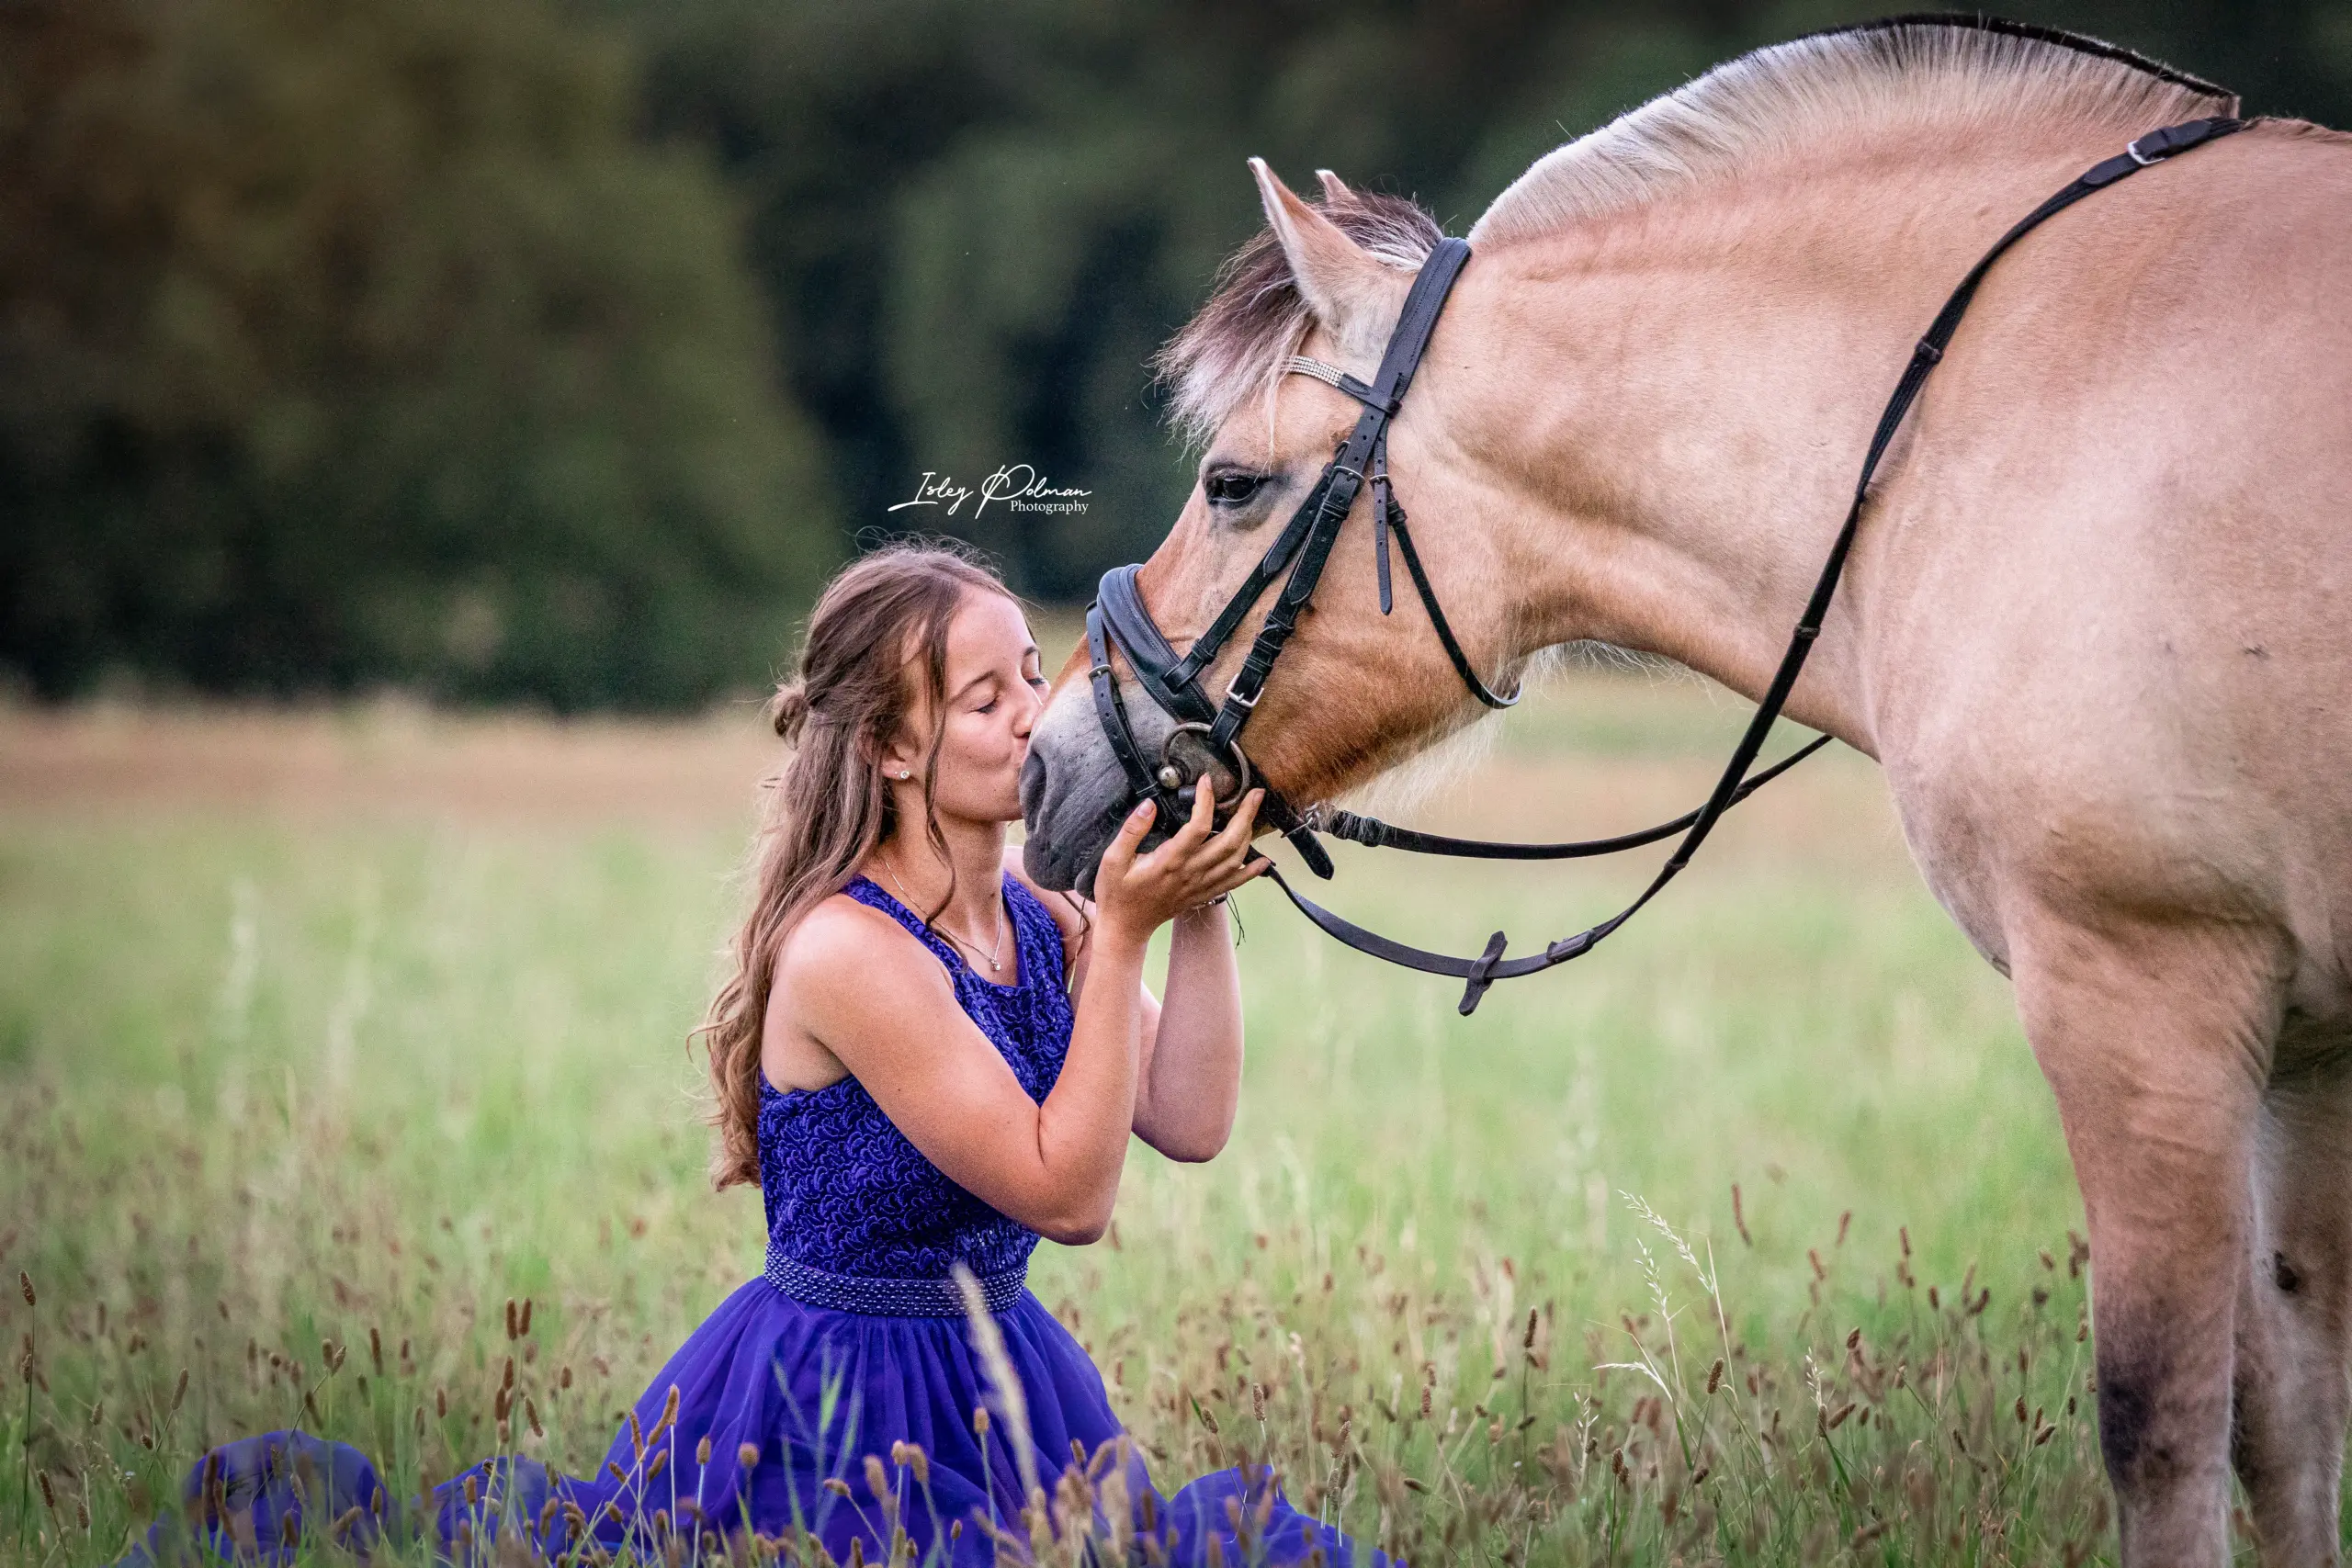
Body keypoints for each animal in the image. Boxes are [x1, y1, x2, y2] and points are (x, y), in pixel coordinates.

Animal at [1021, 15, 2352, 1568]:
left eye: (1233, 483)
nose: (1051, 759)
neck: (1980, 408)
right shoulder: (2302, 1048)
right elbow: (2290, 1417)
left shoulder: (2138, 988)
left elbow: (2164, 1415)